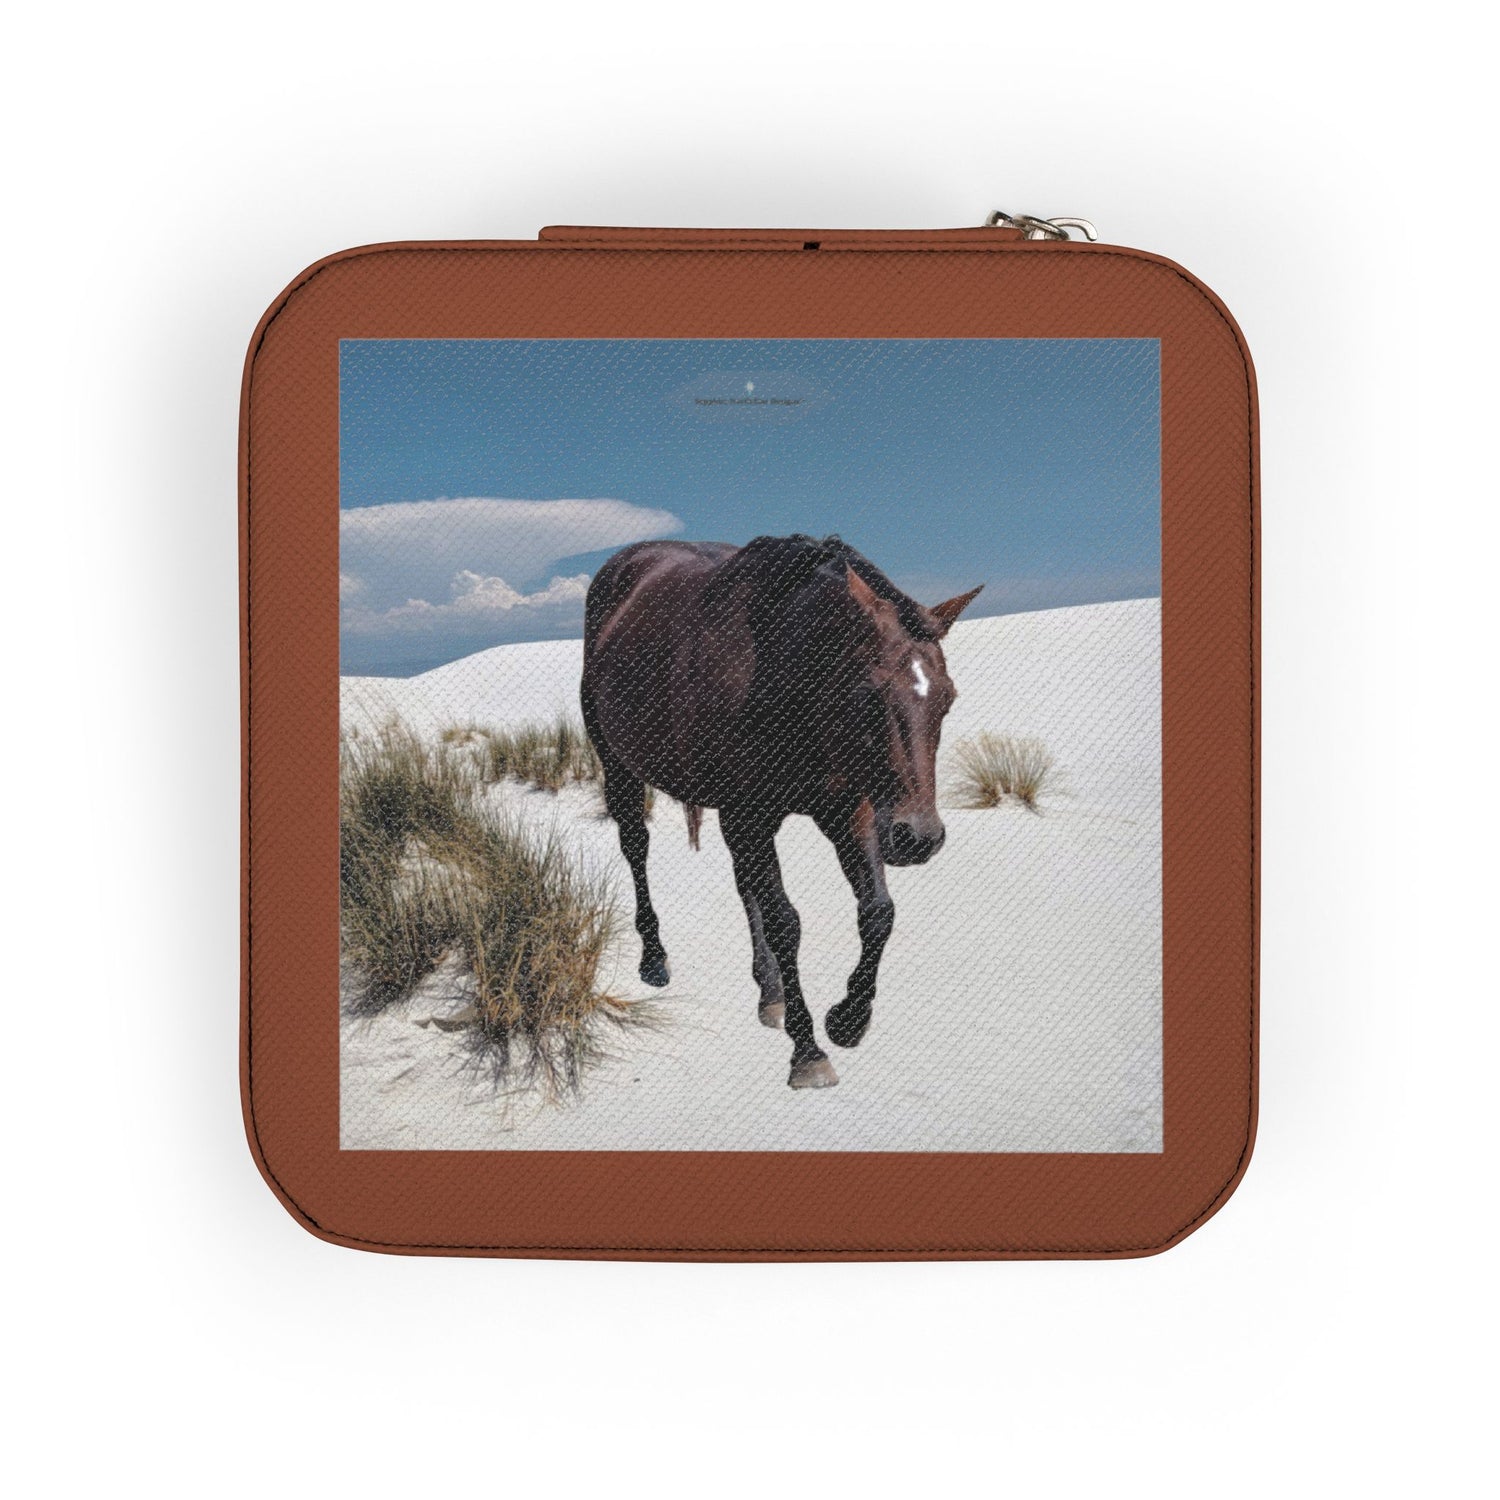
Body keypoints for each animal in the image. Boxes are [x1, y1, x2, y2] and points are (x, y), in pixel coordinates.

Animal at [580, 534, 982, 1089]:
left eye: (947, 698)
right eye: (868, 697)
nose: (918, 838)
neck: (780, 673)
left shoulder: (846, 811)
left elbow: (877, 913)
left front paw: (848, 1019)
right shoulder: (750, 815)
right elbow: (785, 923)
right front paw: (808, 1050)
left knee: (744, 883)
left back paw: (768, 992)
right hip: (620, 767)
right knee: (637, 849)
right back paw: (655, 958)